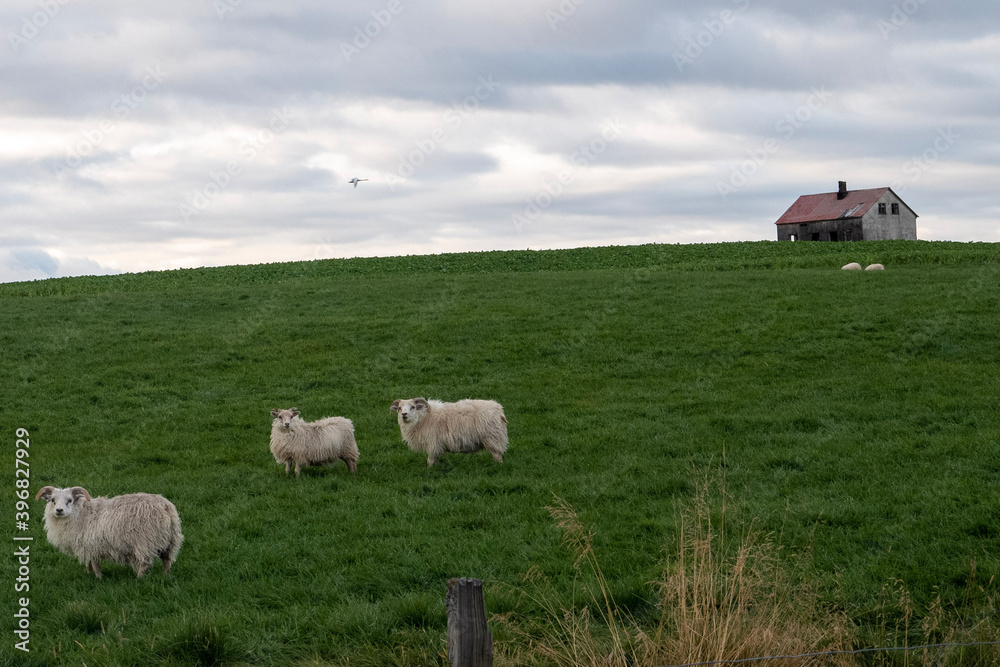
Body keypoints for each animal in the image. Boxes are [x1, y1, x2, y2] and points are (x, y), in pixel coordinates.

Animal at [33, 486, 184, 580]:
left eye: (69, 500)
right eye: (53, 500)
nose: (59, 510)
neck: (81, 514)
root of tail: (165, 506)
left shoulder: (92, 545)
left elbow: (95, 564)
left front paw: (98, 578)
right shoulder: (87, 546)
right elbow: (88, 563)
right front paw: (88, 574)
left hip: (145, 540)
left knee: (145, 562)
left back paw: (139, 578)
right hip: (169, 539)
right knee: (167, 559)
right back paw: (165, 575)